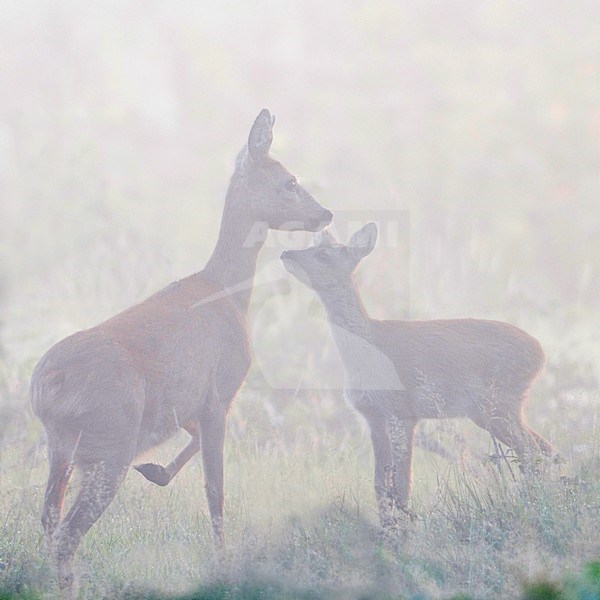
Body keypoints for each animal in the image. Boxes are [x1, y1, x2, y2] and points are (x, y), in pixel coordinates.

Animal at [31, 109, 332, 592]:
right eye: (289, 181)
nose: (325, 213)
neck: (229, 292)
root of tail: (47, 386)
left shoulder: (189, 403)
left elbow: (189, 444)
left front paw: (155, 472)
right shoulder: (220, 393)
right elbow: (216, 490)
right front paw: (224, 565)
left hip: (62, 447)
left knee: (47, 518)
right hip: (109, 442)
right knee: (66, 533)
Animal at [282, 223, 552, 528]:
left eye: (323, 256)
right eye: (311, 247)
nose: (286, 252)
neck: (367, 353)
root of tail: (540, 353)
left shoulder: (402, 413)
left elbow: (401, 486)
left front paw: (404, 531)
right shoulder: (372, 418)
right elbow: (380, 486)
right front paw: (386, 530)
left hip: (498, 403)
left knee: (532, 451)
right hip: (493, 410)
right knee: (543, 448)